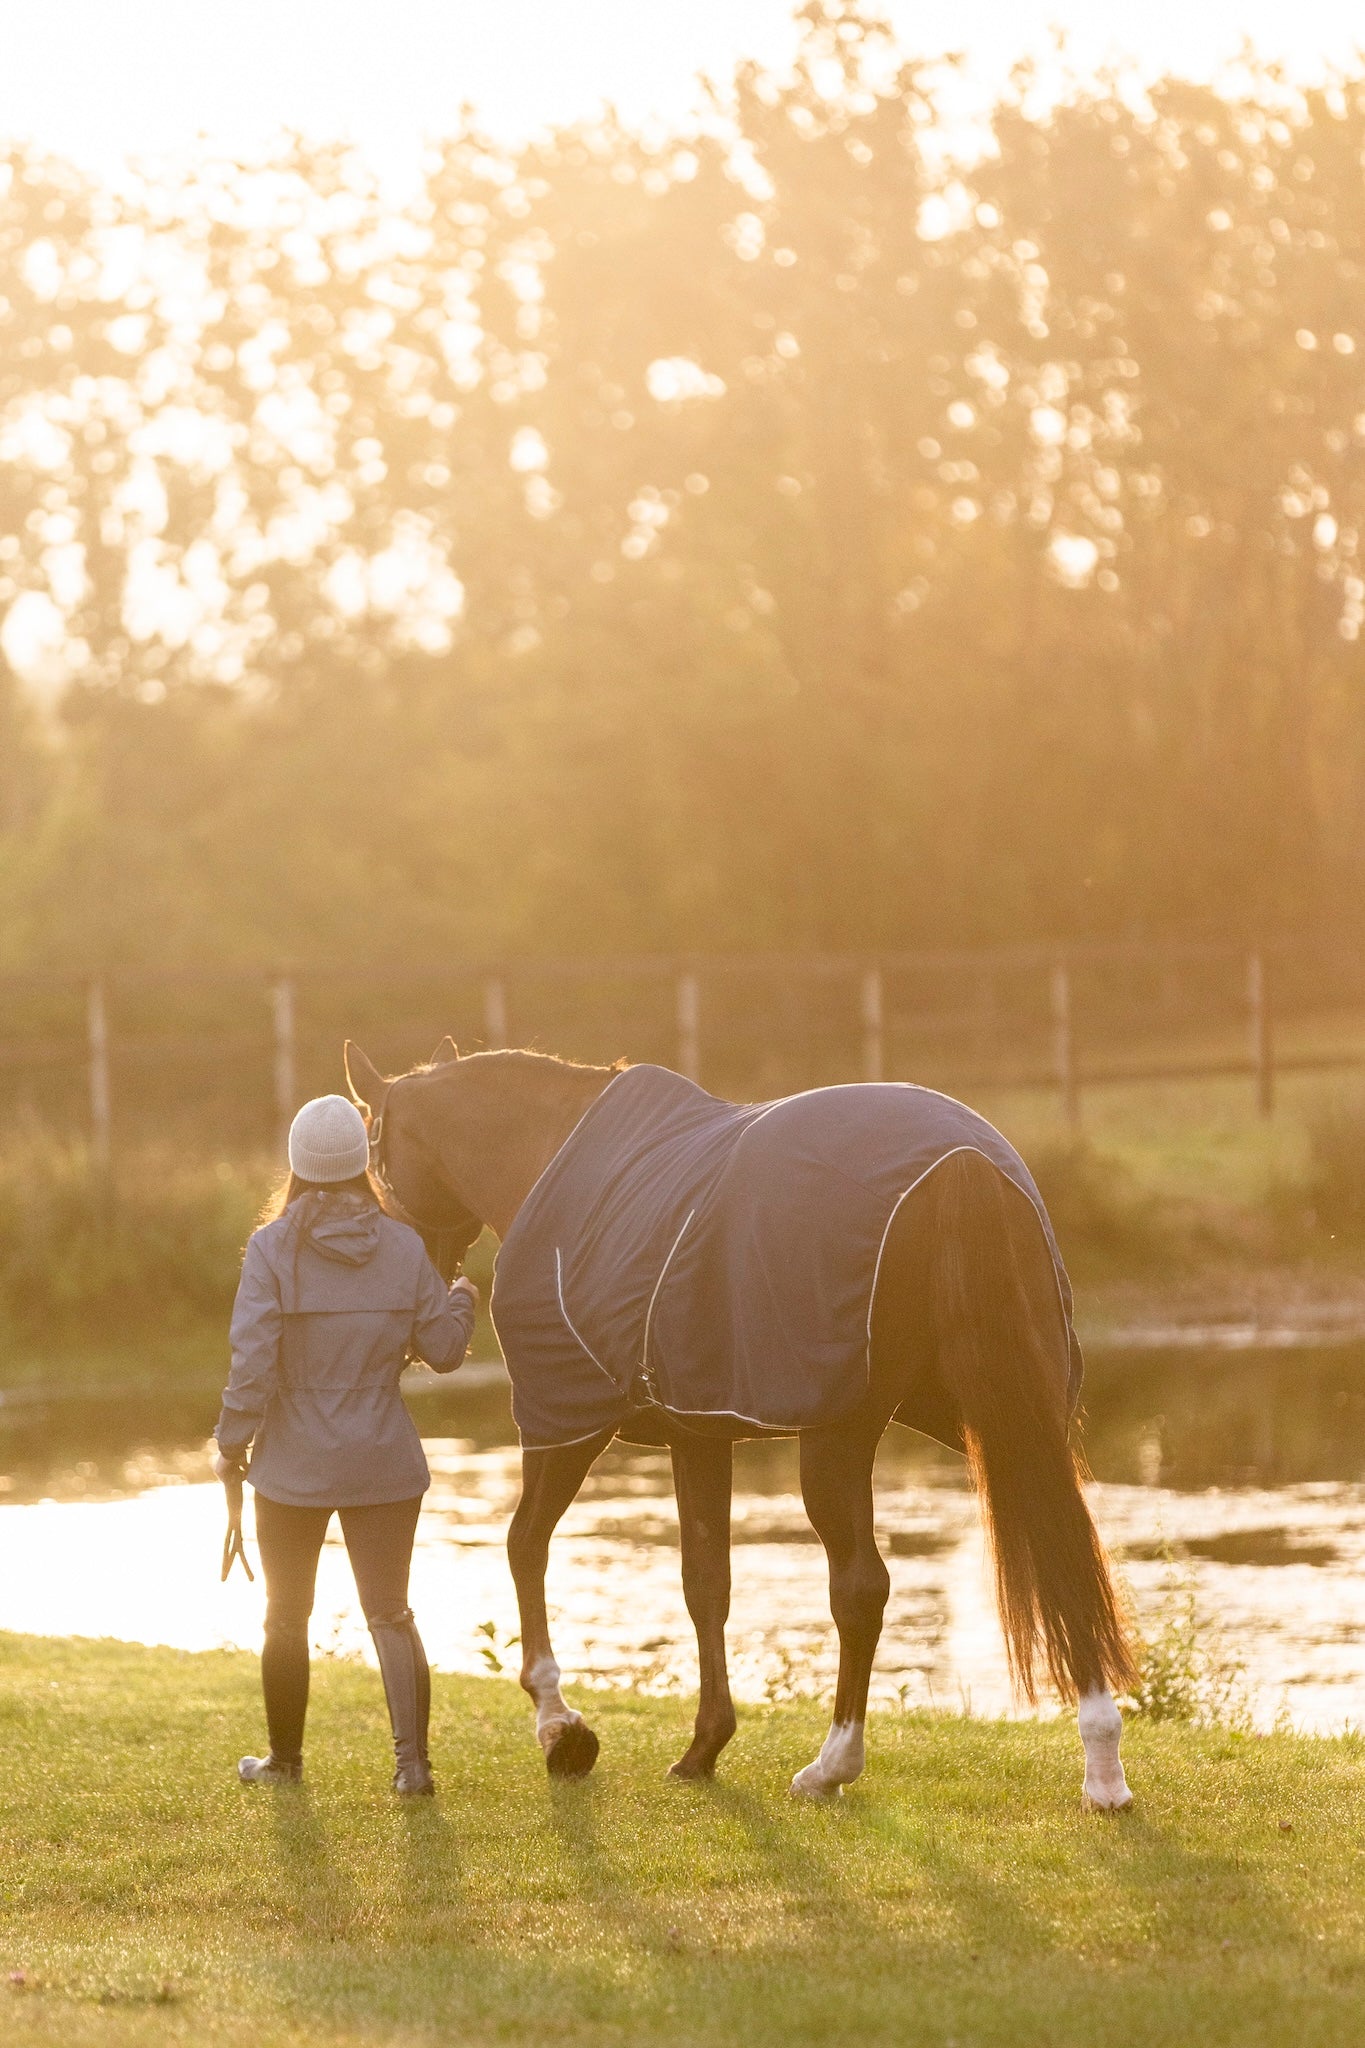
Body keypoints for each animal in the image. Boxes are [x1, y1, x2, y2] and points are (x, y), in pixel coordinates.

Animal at [343, 1038, 1136, 1812]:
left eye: (374, 1157)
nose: (412, 1290)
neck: (552, 1156)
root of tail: (962, 1165)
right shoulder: (698, 1432)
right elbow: (706, 1583)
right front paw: (704, 1745)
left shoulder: (565, 1420)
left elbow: (524, 1545)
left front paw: (559, 1726)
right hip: (1015, 1412)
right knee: (1062, 1551)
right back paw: (1102, 1768)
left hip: (840, 1433)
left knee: (861, 1588)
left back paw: (832, 1765)